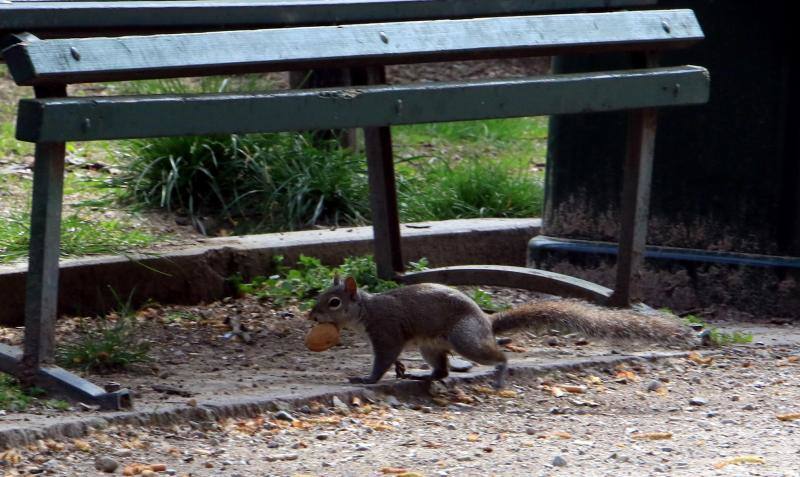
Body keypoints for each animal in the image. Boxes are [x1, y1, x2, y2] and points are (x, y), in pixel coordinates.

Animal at [308, 276, 692, 386]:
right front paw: (398, 369)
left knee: (496, 355)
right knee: (441, 370)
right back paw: (420, 376)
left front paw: (366, 379)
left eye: (333, 302)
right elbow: (392, 359)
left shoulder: (386, 331)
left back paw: (501, 371)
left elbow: (383, 359)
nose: (311, 315)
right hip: (431, 346)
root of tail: (486, 323)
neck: (367, 310)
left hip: (464, 339)